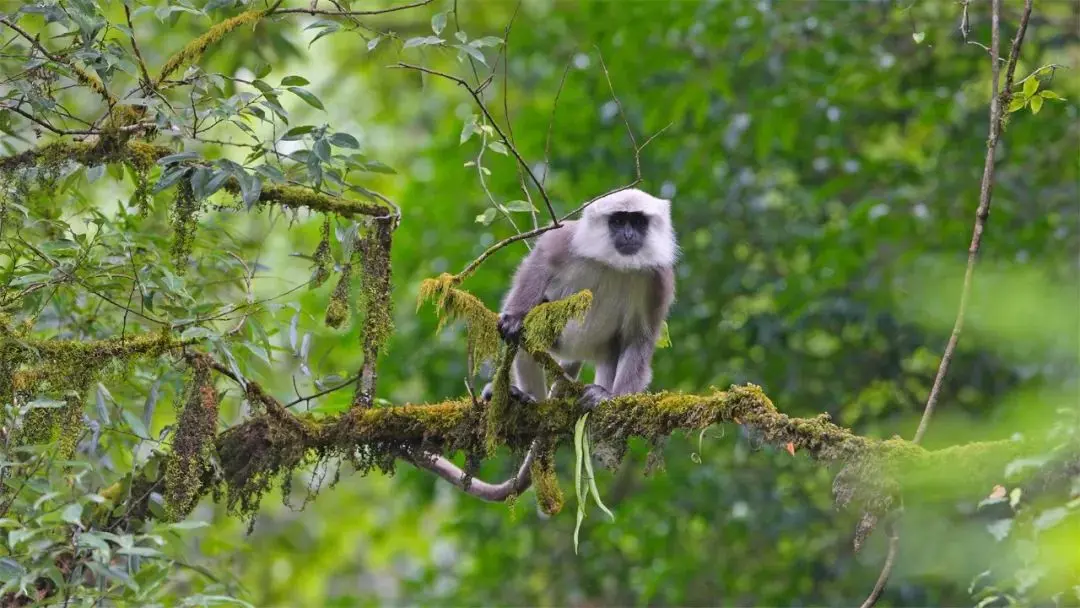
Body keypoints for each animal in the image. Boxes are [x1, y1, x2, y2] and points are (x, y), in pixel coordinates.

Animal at [481, 187, 673, 412]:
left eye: (638, 221)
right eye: (617, 221)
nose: (628, 235)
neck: (616, 264)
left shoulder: (658, 280)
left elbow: (639, 337)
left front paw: (611, 398)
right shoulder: (570, 239)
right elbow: (541, 260)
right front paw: (514, 318)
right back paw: (528, 396)